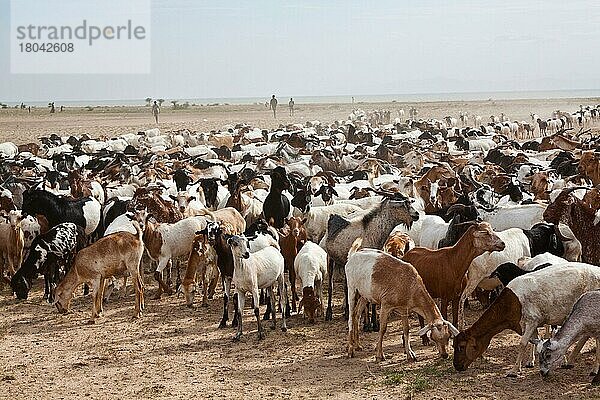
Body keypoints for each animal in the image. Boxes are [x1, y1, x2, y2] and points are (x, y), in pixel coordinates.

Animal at [452, 260, 600, 376]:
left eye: (461, 347)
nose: (456, 366)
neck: (510, 306)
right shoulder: (529, 324)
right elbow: (535, 340)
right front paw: (531, 361)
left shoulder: (532, 320)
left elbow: (523, 343)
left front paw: (514, 370)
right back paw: (571, 360)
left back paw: (593, 368)